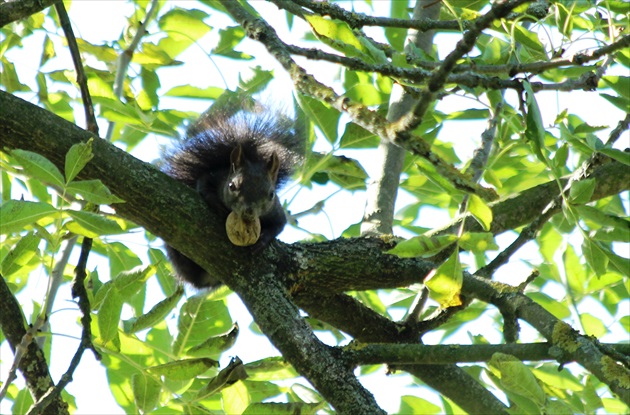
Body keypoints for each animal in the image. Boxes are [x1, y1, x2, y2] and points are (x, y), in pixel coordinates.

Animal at [162, 107, 302, 290]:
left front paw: (263, 240)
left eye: (271, 194)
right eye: (231, 186)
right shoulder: (216, 177)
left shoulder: (275, 211)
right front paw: (216, 204)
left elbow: (279, 224)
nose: (249, 211)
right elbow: (203, 184)